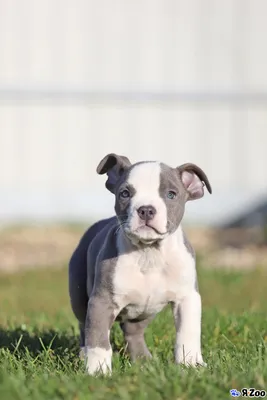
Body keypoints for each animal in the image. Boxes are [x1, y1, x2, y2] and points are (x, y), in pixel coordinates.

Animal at [69, 154, 214, 376]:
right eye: (125, 193)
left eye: (171, 194)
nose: (146, 209)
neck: (149, 253)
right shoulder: (101, 301)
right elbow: (98, 337)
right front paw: (98, 371)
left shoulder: (187, 298)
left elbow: (187, 333)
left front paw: (190, 364)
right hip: (79, 296)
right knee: (83, 326)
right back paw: (84, 355)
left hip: (144, 311)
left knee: (133, 332)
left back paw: (143, 361)